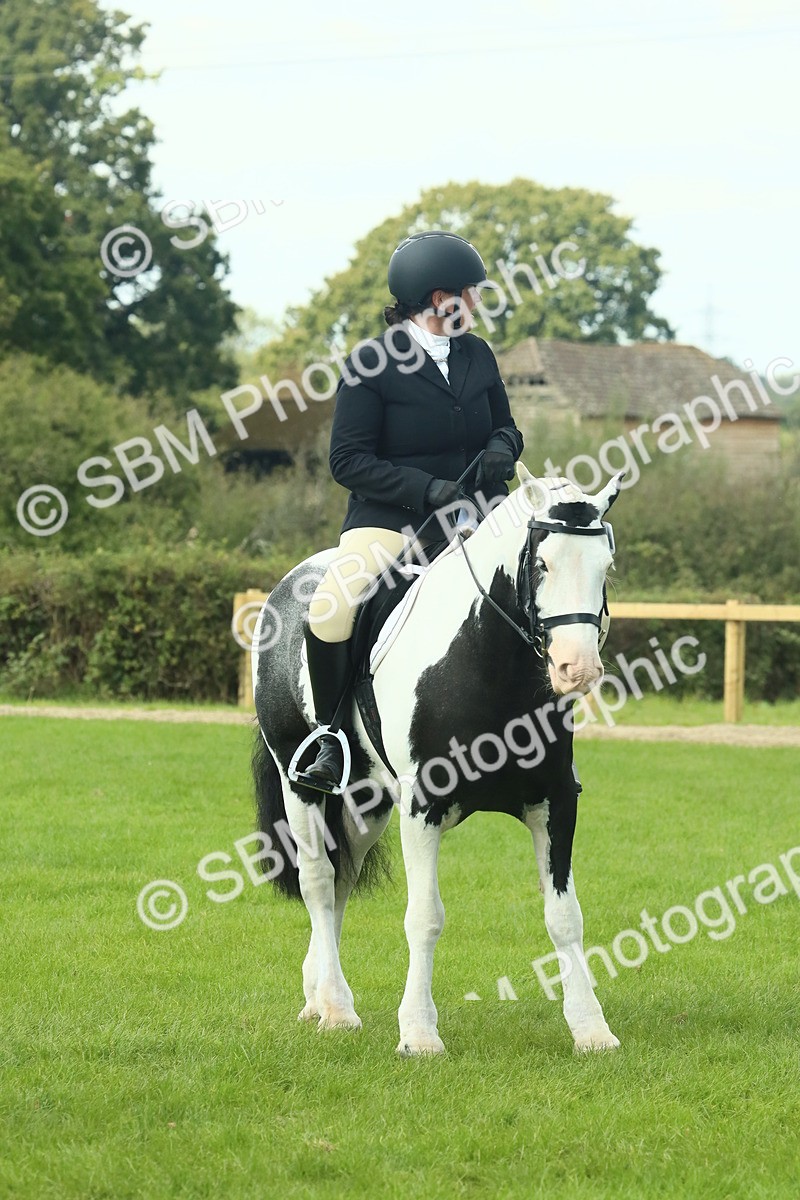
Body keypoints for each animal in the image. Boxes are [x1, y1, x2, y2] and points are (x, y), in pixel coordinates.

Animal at [251, 462, 625, 1055]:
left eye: (604, 567)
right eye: (542, 563)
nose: (578, 669)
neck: (487, 659)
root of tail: (289, 584)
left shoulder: (554, 802)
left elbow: (565, 916)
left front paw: (590, 1029)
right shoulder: (423, 806)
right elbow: (425, 917)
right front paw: (419, 1033)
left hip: (367, 803)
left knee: (341, 880)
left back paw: (318, 996)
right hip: (302, 783)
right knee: (317, 879)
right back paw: (337, 1008)